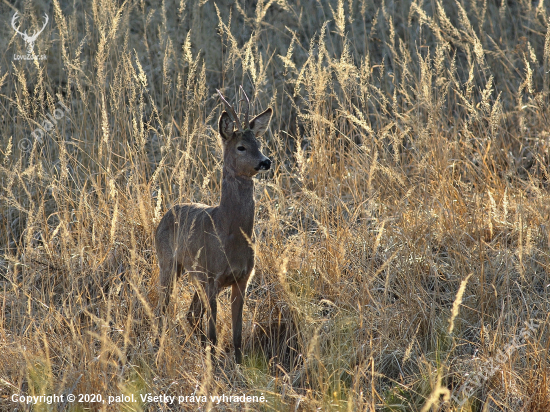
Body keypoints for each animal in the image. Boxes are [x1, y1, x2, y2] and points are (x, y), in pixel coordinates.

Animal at [156, 87, 272, 364]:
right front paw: (213, 364)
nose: (266, 161)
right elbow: (214, 334)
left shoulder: (242, 279)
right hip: (168, 263)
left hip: (193, 275)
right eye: (241, 147)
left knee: (191, 314)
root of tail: (166, 214)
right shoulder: (212, 277)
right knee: (163, 310)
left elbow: (237, 335)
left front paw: (238, 365)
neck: (228, 233)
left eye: (259, 143)